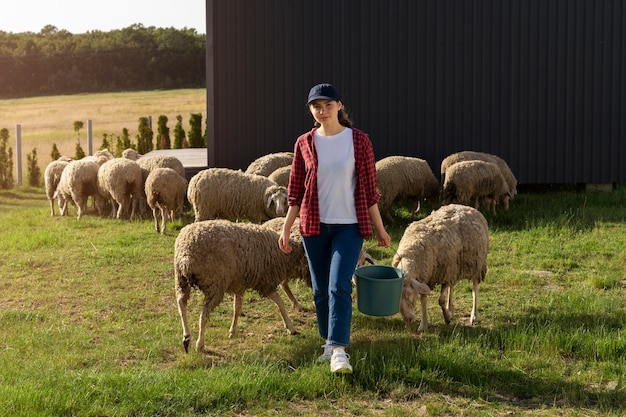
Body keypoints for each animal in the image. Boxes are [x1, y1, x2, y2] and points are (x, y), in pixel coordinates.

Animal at [176, 218, 304, 352]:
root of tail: (186, 256)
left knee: (181, 304)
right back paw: (199, 343)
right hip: (215, 284)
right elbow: (279, 302)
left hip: (181, 280)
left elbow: (237, 307)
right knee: (204, 314)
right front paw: (291, 327)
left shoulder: (239, 283)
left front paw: (232, 331)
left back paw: (186, 336)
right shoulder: (265, 282)